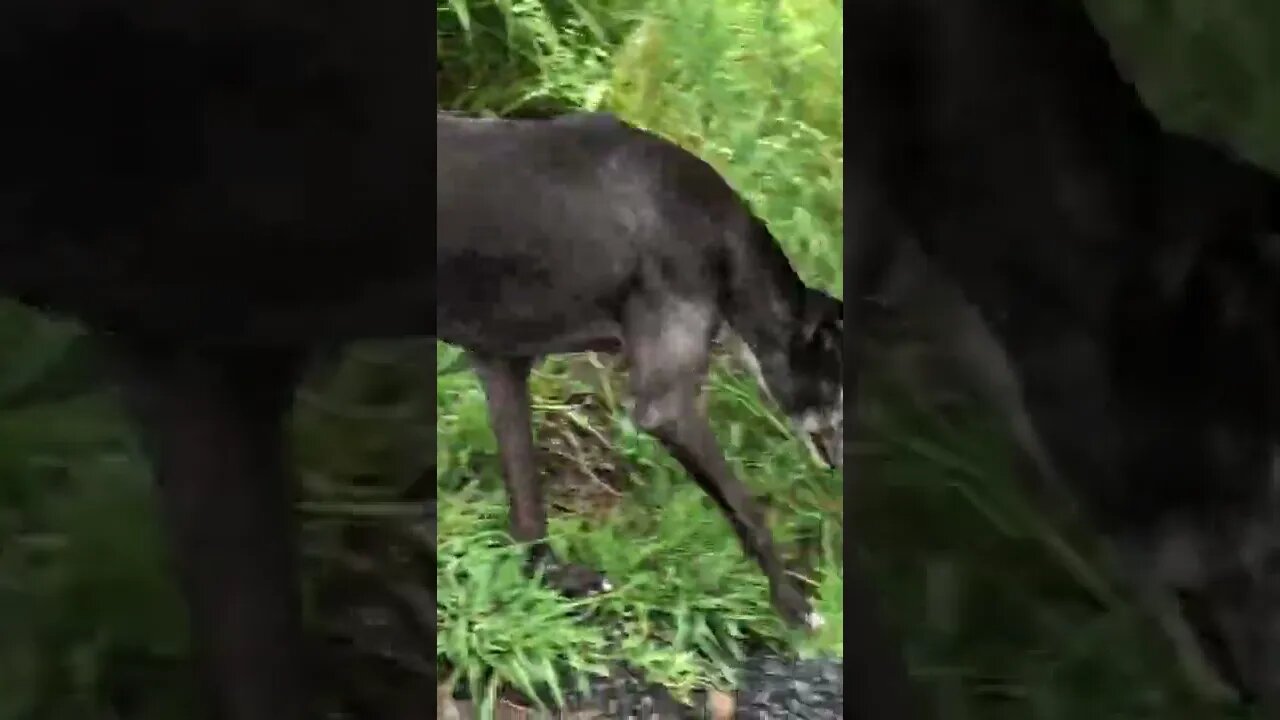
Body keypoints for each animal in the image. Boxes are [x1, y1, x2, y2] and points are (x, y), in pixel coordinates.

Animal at [440, 112, 849, 627]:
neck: (713, 230)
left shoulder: (502, 364)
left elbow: (528, 510)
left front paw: (553, 579)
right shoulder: (666, 408)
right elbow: (748, 511)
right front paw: (795, 608)